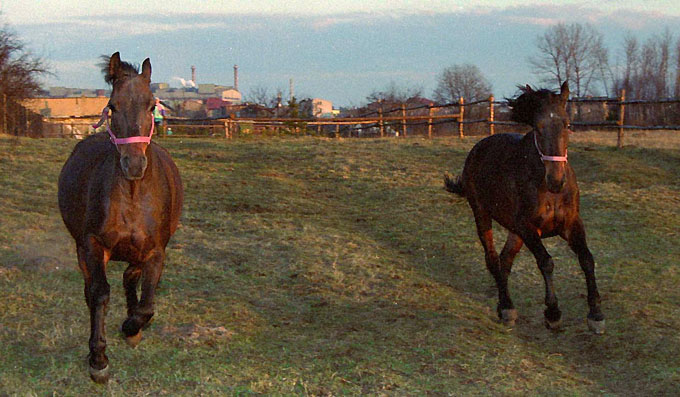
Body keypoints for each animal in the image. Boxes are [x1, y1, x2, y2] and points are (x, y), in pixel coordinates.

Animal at [58, 52, 183, 380]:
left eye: (152, 105)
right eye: (113, 106)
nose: (134, 165)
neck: (132, 195)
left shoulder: (154, 251)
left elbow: (147, 303)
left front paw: (131, 327)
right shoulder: (93, 245)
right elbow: (100, 293)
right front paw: (98, 358)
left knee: (130, 278)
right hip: (81, 248)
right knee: (92, 289)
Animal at [446, 82, 604, 332]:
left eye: (567, 124)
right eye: (538, 127)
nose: (556, 181)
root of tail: (478, 149)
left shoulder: (570, 224)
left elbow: (587, 259)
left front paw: (596, 315)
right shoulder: (528, 227)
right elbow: (546, 262)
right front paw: (552, 313)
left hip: (514, 232)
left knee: (505, 260)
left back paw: (504, 306)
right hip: (482, 215)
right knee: (493, 259)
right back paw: (506, 307)